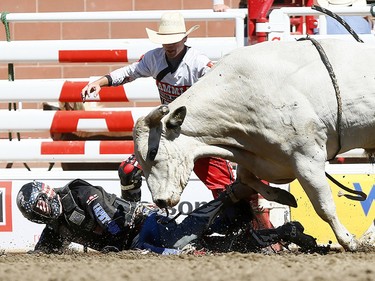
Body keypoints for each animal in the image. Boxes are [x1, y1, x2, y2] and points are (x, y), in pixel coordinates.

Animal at [134, 38, 374, 250]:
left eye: (153, 152)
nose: (160, 201)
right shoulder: (255, 157)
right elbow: (246, 180)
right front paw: (283, 196)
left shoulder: (307, 158)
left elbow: (324, 206)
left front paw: (349, 241)